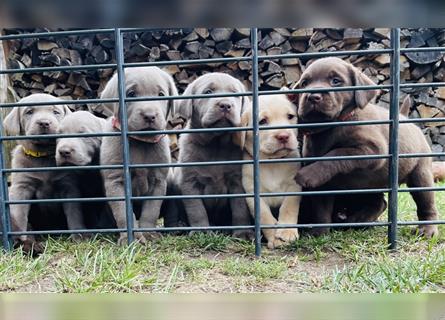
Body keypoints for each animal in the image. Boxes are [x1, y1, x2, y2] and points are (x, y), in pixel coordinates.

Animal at [3, 93, 82, 252]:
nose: (44, 123)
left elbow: (74, 213)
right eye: (29, 112)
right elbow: (19, 214)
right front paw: (20, 238)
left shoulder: (69, 186)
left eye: (56, 112)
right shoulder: (21, 187)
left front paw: (80, 237)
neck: (43, 157)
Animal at [99, 66, 176, 244]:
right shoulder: (115, 181)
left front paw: (148, 233)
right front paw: (130, 238)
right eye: (131, 94)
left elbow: (151, 210)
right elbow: (123, 212)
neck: (141, 141)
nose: (149, 115)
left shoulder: (159, 181)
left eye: (161, 94)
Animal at [176, 72, 255, 238]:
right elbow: (196, 210)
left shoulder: (237, 181)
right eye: (208, 92)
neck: (215, 145)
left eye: (235, 94)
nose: (225, 105)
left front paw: (243, 232)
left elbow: (240, 208)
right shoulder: (189, 182)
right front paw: (201, 232)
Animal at [234, 94, 300, 249]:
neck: (272, 163)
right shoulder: (252, 192)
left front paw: (287, 232)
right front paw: (274, 238)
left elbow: (289, 206)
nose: (283, 136)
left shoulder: (294, 185)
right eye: (262, 121)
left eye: (290, 116)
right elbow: (264, 216)